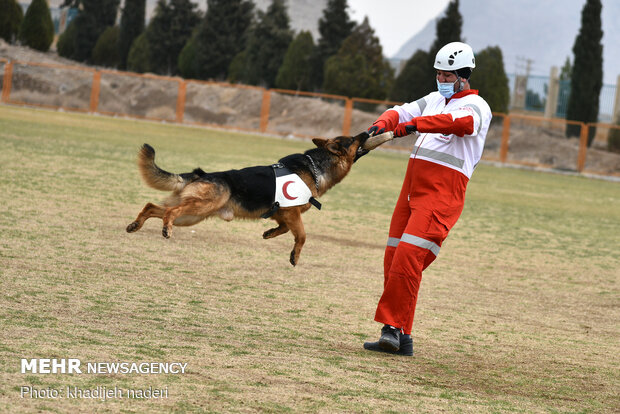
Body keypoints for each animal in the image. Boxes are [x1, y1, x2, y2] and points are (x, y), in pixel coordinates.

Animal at [125, 134, 368, 266]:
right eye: (352, 139)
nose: (367, 132)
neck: (316, 167)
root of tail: (201, 174)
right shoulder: (291, 212)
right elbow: (302, 236)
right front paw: (294, 256)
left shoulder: (282, 213)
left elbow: (284, 229)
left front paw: (269, 234)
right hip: (200, 207)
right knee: (168, 212)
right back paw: (166, 228)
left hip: (192, 216)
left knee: (152, 206)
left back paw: (135, 225)